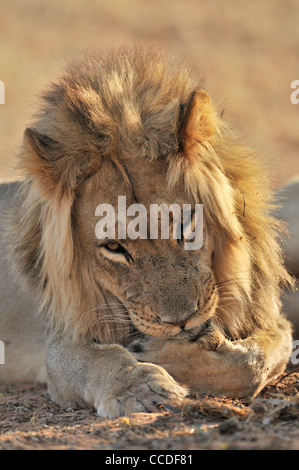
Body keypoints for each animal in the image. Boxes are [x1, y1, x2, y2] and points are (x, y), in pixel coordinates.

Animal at [0, 46, 296, 416]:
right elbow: (104, 360)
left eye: (184, 224)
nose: (181, 321)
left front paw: (163, 355)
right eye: (114, 247)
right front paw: (141, 387)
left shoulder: (272, 321)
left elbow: (253, 363)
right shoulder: (62, 344)